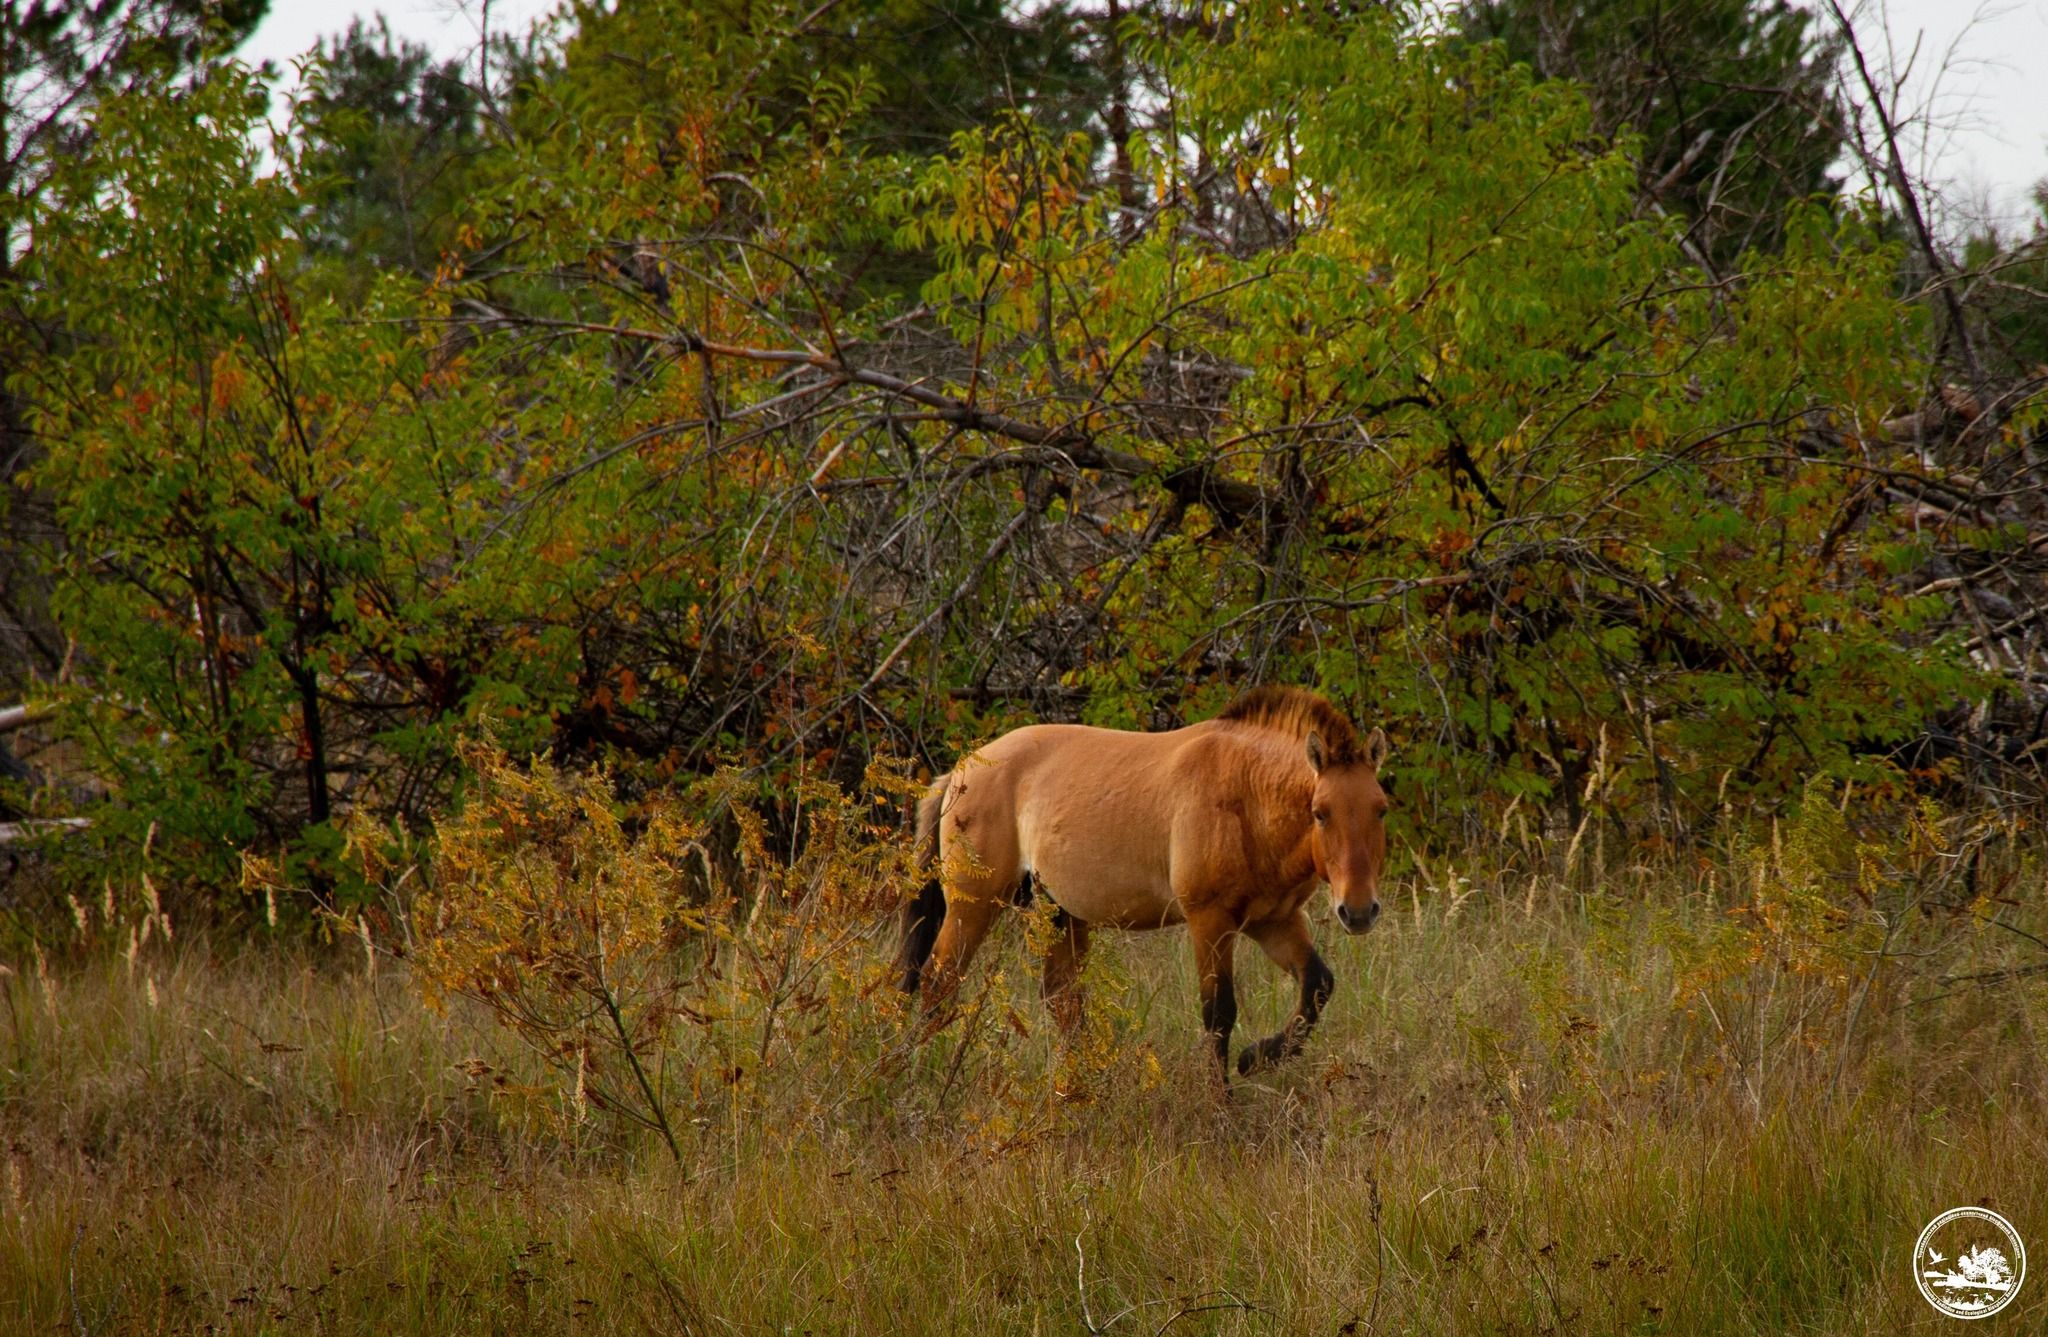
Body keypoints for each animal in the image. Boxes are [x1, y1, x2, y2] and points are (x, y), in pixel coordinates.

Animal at [897, 687, 1392, 1072]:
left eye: (1380, 809)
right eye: (1320, 812)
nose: (1359, 911)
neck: (1248, 796)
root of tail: (960, 771)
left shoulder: (1274, 921)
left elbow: (1317, 986)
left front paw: (1258, 1056)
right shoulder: (1210, 921)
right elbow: (1219, 1015)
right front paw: (1222, 1106)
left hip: (1057, 911)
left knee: (1062, 1000)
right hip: (975, 905)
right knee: (939, 982)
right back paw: (920, 1070)